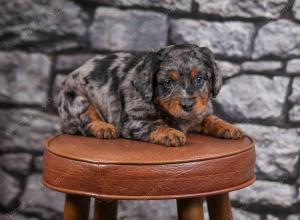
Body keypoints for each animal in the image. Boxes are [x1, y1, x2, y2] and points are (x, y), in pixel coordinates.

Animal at [56, 43, 244, 146]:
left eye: (199, 79)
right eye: (167, 83)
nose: (187, 105)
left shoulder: (199, 112)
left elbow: (210, 118)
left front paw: (229, 127)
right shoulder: (133, 121)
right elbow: (156, 124)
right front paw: (172, 133)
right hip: (77, 100)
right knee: (86, 120)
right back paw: (103, 128)